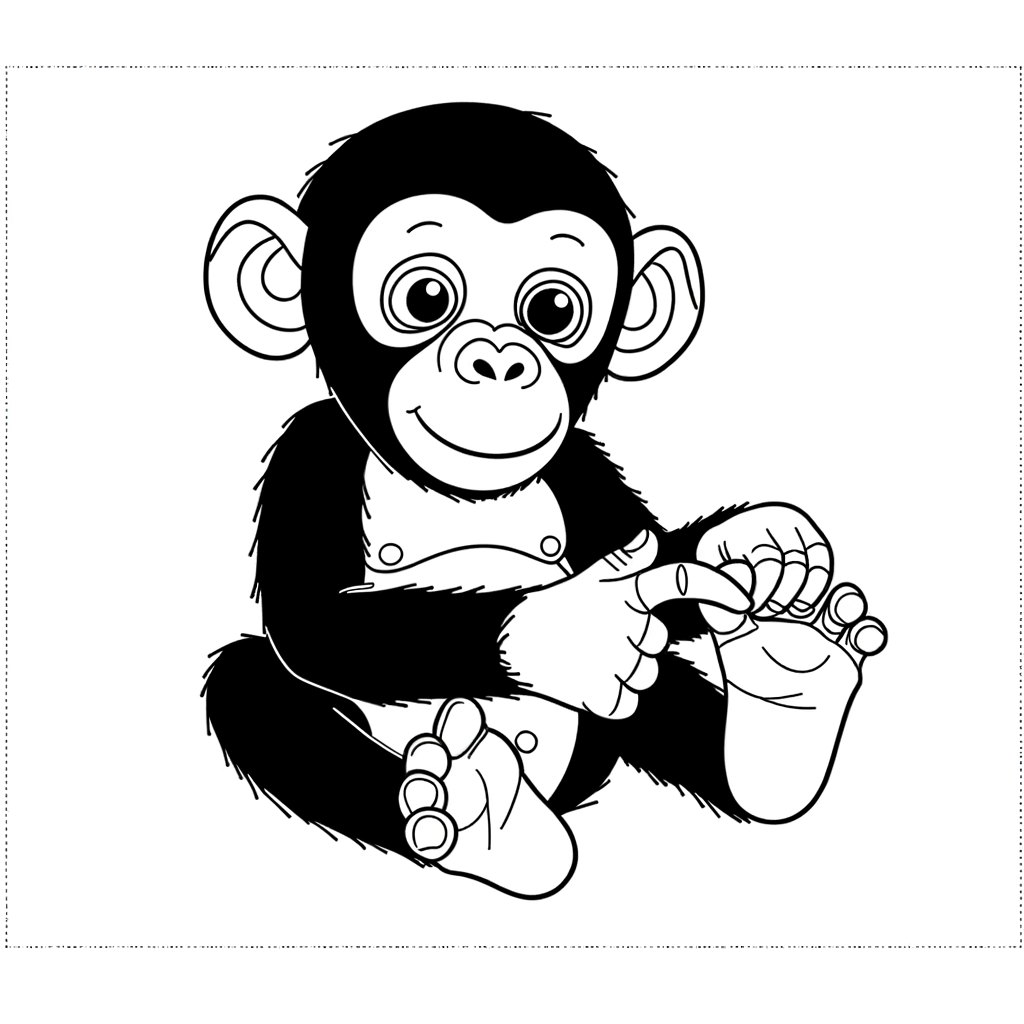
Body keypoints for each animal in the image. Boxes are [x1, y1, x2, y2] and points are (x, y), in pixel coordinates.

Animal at [202, 102, 888, 899]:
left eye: (553, 309)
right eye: (425, 299)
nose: (499, 360)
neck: (459, 495)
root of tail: (554, 799)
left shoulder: (582, 466)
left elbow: (652, 553)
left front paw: (759, 547)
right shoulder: (311, 455)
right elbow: (315, 620)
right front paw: (568, 631)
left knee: (667, 695)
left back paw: (788, 703)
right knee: (253, 688)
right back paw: (490, 818)